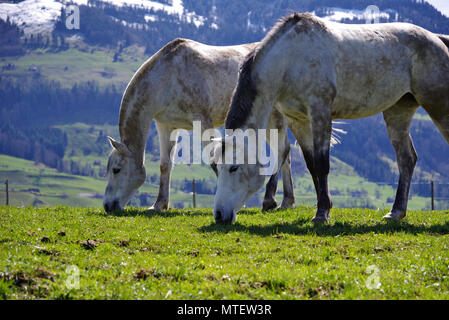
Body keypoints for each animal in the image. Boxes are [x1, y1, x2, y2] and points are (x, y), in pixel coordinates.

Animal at [103, 38, 296, 212]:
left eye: (116, 170)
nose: (107, 206)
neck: (167, 77)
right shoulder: (165, 125)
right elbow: (165, 165)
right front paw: (159, 204)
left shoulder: (203, 121)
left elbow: (214, 160)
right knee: (286, 155)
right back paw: (287, 201)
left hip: (273, 119)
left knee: (282, 150)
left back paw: (270, 200)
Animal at [213, 13, 448, 224]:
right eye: (217, 167)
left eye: (233, 167)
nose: (219, 215)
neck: (290, 59)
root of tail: (437, 39)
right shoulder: (298, 120)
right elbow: (311, 164)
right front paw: (324, 206)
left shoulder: (320, 112)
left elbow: (322, 163)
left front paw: (322, 213)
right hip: (398, 111)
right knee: (406, 159)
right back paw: (396, 212)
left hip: (438, 107)